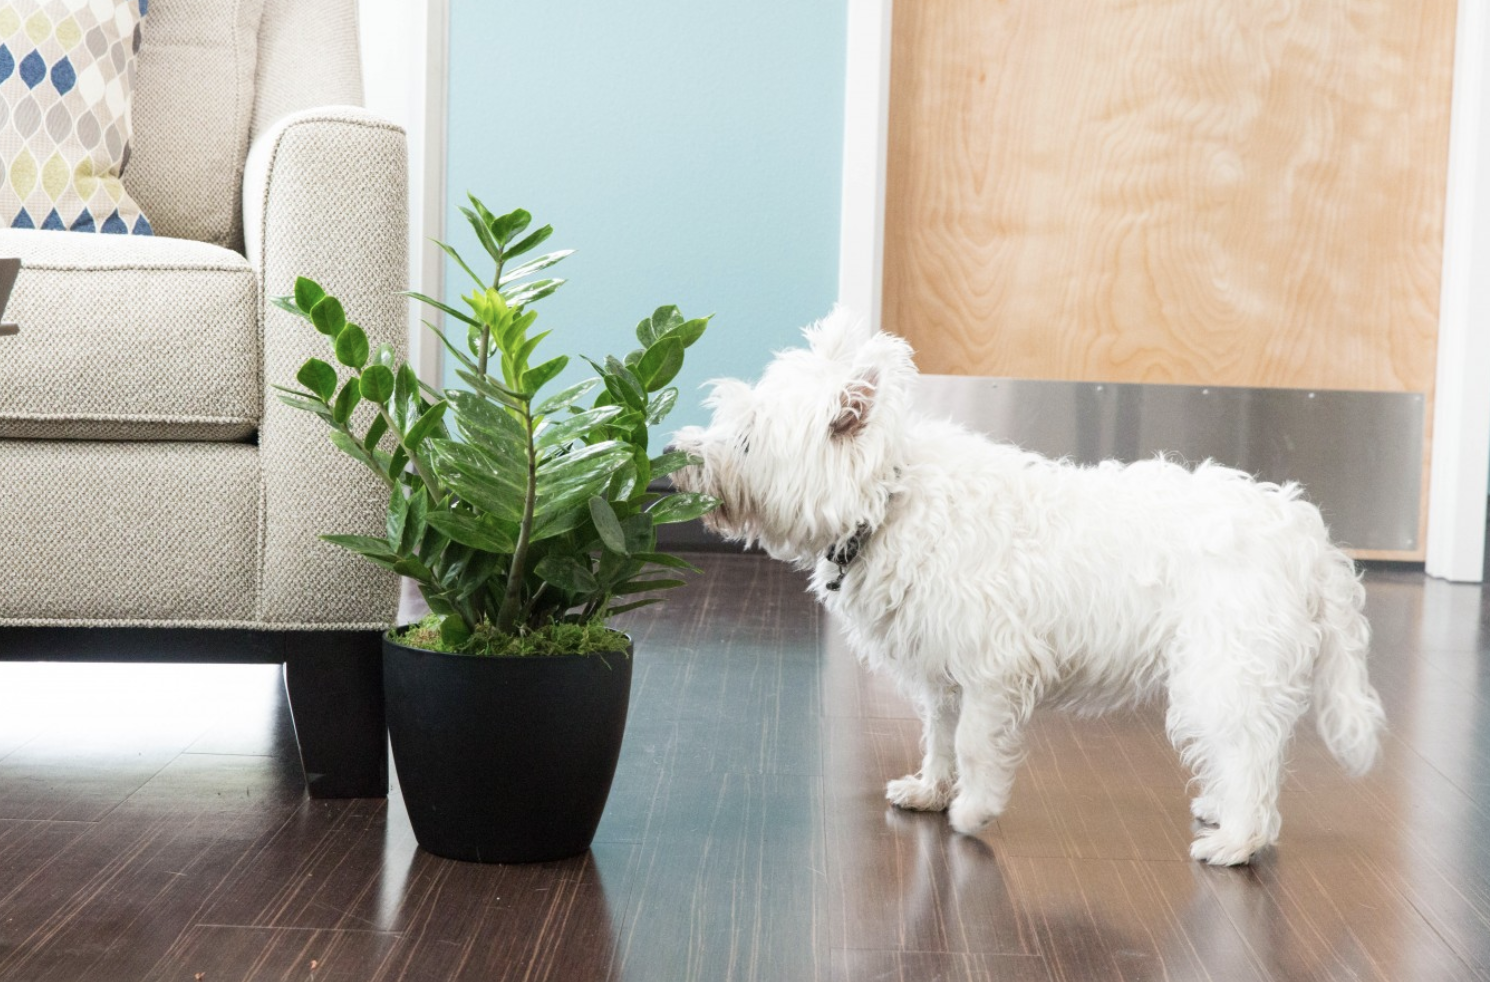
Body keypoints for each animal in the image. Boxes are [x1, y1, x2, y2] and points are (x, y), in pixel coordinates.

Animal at [676, 309, 1382, 870]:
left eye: (747, 440)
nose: (683, 461)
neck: (889, 501)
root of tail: (1307, 538)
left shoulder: (994, 666)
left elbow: (972, 743)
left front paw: (973, 810)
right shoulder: (942, 670)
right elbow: (939, 736)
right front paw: (931, 791)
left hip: (1224, 670)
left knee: (1251, 756)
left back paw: (1237, 841)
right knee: (1250, 754)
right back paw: (1222, 809)